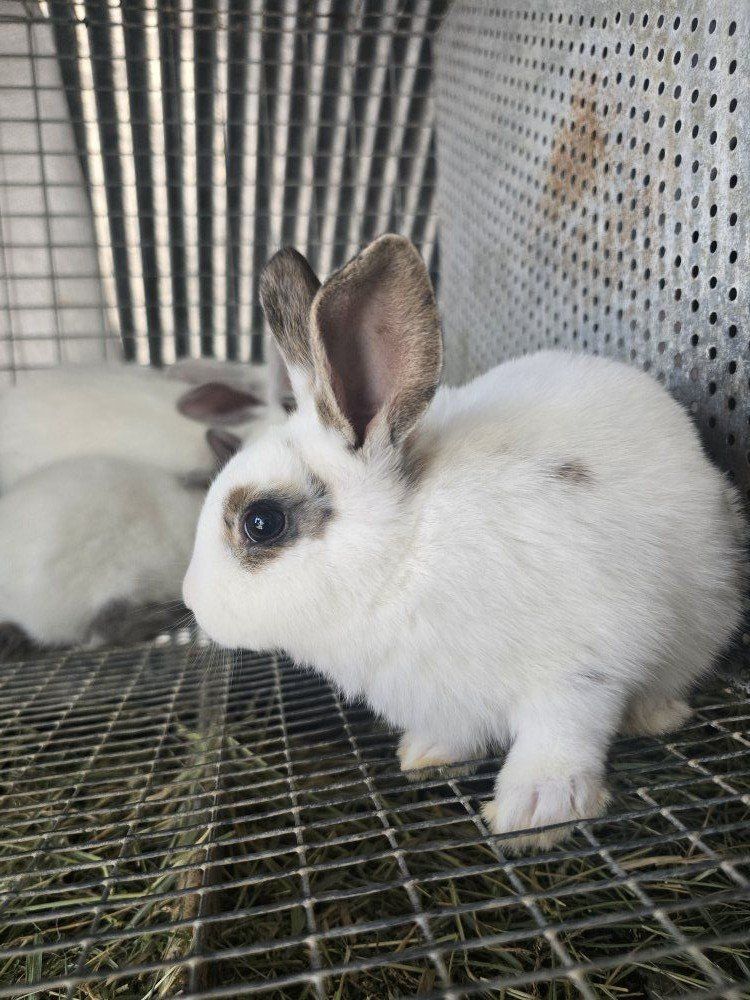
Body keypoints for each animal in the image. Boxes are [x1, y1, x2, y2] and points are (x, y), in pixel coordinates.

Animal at [182, 234, 746, 852]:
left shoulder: (583, 663)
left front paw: (535, 811)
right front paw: (426, 755)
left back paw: (654, 715)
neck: (404, 557)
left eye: (261, 523)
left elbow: (561, 733)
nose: (191, 603)